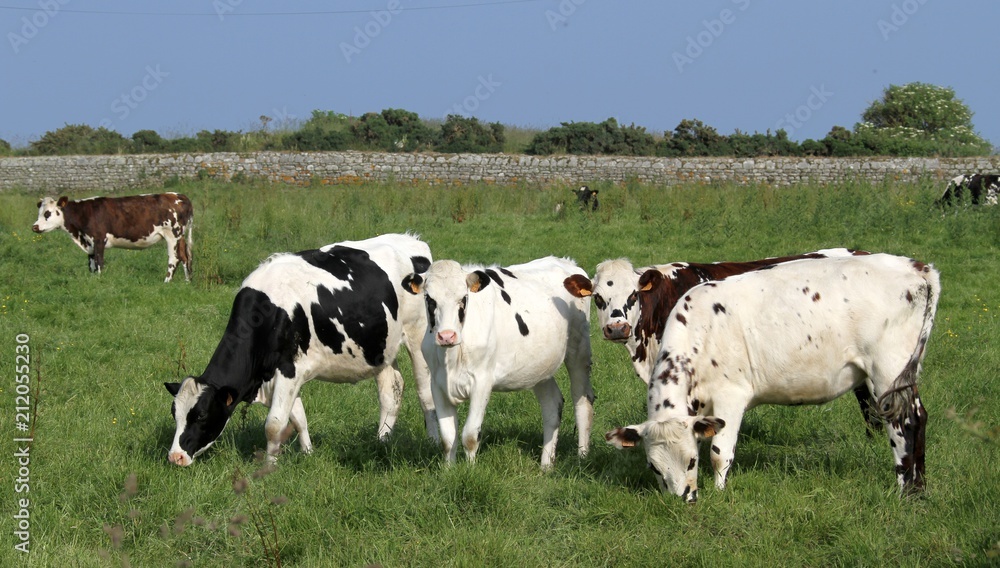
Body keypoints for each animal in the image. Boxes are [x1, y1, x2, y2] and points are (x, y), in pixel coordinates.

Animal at [33, 193, 195, 282]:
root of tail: (179, 195)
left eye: (47, 213)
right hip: (180, 236)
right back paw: (187, 281)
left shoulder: (99, 240)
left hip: (172, 235)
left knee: (174, 258)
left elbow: (99, 263)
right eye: (39, 213)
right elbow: (91, 264)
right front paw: (93, 281)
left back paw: (166, 281)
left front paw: (100, 280)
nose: (34, 227)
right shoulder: (90, 244)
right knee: (185, 256)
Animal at [164, 232, 438, 466]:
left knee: (426, 392)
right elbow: (298, 417)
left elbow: (274, 424)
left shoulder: (289, 369)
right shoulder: (285, 374)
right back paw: (381, 441)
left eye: (201, 415)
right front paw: (307, 453)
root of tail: (413, 242)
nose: (175, 457)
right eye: (174, 413)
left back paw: (434, 441)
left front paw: (269, 466)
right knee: (391, 391)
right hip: (380, 347)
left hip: (418, 335)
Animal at [402, 255, 592, 468]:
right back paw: (546, 465)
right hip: (539, 367)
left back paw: (582, 457)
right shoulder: (437, 383)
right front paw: (449, 470)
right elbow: (448, 437)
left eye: (464, 298)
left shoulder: (482, 381)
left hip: (579, 349)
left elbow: (470, 435)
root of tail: (567, 262)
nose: (447, 336)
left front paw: (469, 470)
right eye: (429, 299)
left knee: (582, 400)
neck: (451, 356)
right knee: (552, 404)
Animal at [604, 253, 940, 502]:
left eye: (691, 461)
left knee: (903, 422)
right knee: (919, 416)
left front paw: (720, 494)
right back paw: (919, 488)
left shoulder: (730, 396)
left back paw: (904, 489)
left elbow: (720, 452)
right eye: (654, 467)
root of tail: (916, 266)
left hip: (887, 368)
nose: (684, 499)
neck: (700, 331)